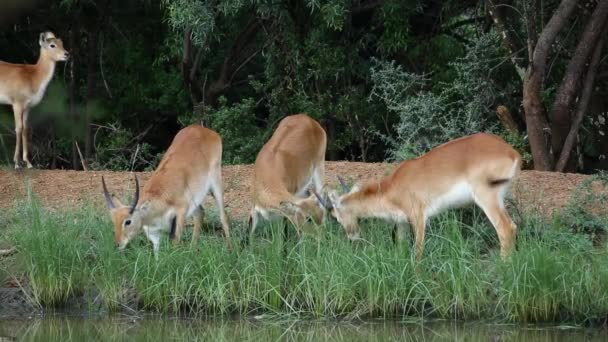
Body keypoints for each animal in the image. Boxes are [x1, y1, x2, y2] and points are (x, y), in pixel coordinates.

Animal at [0, 32, 69, 169]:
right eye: (52, 45)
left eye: (62, 43)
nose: (66, 54)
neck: (34, 77)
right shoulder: (17, 103)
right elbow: (18, 128)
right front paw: (17, 163)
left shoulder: (28, 107)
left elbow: (26, 129)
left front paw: (28, 163)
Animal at [101, 123, 232, 256]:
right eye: (113, 221)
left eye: (128, 221)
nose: (118, 244)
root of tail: (201, 128)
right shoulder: (154, 233)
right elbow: (156, 253)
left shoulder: (180, 214)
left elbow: (175, 244)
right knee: (200, 214)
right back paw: (192, 250)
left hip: (215, 181)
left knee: (223, 216)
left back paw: (231, 249)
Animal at [318, 133, 524, 260]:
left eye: (335, 216)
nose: (352, 237)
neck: (392, 188)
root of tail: (512, 152)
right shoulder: (401, 223)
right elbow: (401, 249)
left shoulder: (418, 217)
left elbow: (417, 251)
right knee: (513, 227)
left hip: (486, 197)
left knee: (505, 229)